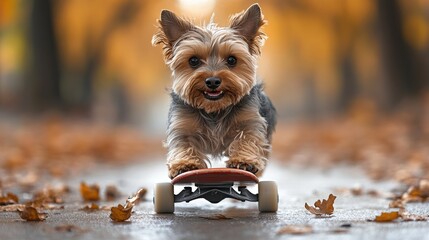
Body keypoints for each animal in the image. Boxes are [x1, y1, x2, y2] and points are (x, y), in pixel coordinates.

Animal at [152, 2, 276, 179]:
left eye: (232, 60)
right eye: (193, 60)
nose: (212, 81)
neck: (214, 109)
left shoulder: (250, 120)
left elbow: (248, 137)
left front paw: (243, 160)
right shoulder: (182, 124)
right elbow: (182, 144)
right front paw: (184, 164)